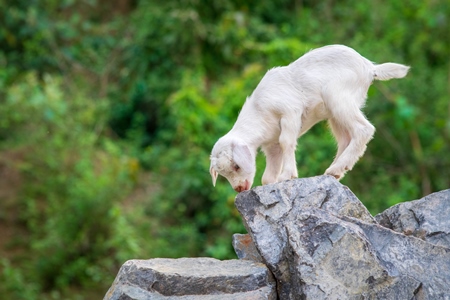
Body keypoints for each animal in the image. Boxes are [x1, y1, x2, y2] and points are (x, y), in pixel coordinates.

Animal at [209, 45, 410, 193]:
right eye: (223, 174)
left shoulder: (289, 112)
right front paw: (272, 183)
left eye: (236, 166)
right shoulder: (271, 144)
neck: (259, 112)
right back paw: (334, 172)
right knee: (345, 139)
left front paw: (287, 176)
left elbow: (287, 141)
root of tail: (370, 67)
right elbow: (269, 171)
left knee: (364, 129)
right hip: (335, 112)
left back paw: (337, 168)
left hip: (338, 97)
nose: (239, 189)